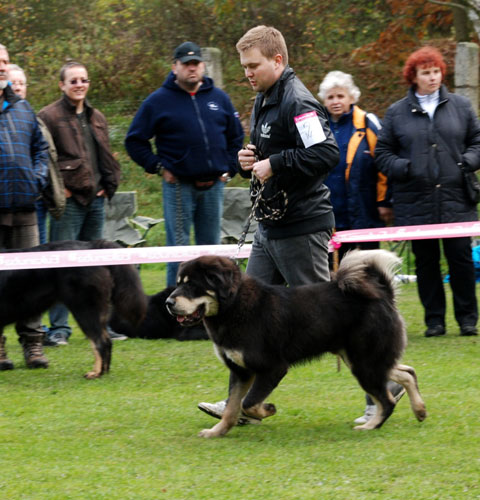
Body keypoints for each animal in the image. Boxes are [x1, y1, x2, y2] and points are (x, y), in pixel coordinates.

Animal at [0, 240, 146, 376]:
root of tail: (91, 245)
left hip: (84, 308)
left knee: (100, 342)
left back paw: (96, 373)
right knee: (107, 341)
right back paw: (104, 372)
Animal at [166, 250, 428, 438]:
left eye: (192, 285)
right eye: (178, 283)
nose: (168, 302)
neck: (234, 306)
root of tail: (384, 294)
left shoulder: (272, 368)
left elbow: (248, 403)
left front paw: (267, 409)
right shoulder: (240, 370)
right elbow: (231, 408)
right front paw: (217, 432)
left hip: (364, 364)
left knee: (388, 399)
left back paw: (371, 425)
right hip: (360, 359)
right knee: (407, 372)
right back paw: (419, 410)